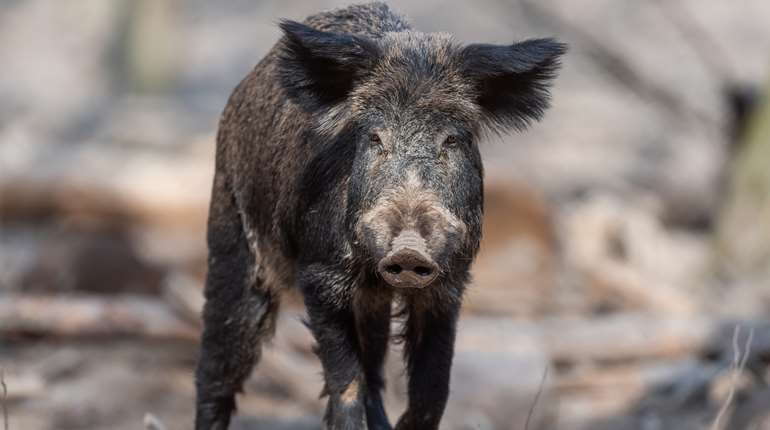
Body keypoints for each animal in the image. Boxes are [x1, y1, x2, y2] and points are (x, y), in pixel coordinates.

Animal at [195, 2, 565, 429]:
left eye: (452, 139)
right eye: (375, 138)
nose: (408, 249)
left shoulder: (449, 281)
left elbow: (432, 390)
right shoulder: (320, 273)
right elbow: (346, 384)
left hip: (372, 303)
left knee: (374, 370)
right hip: (231, 232)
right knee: (217, 366)